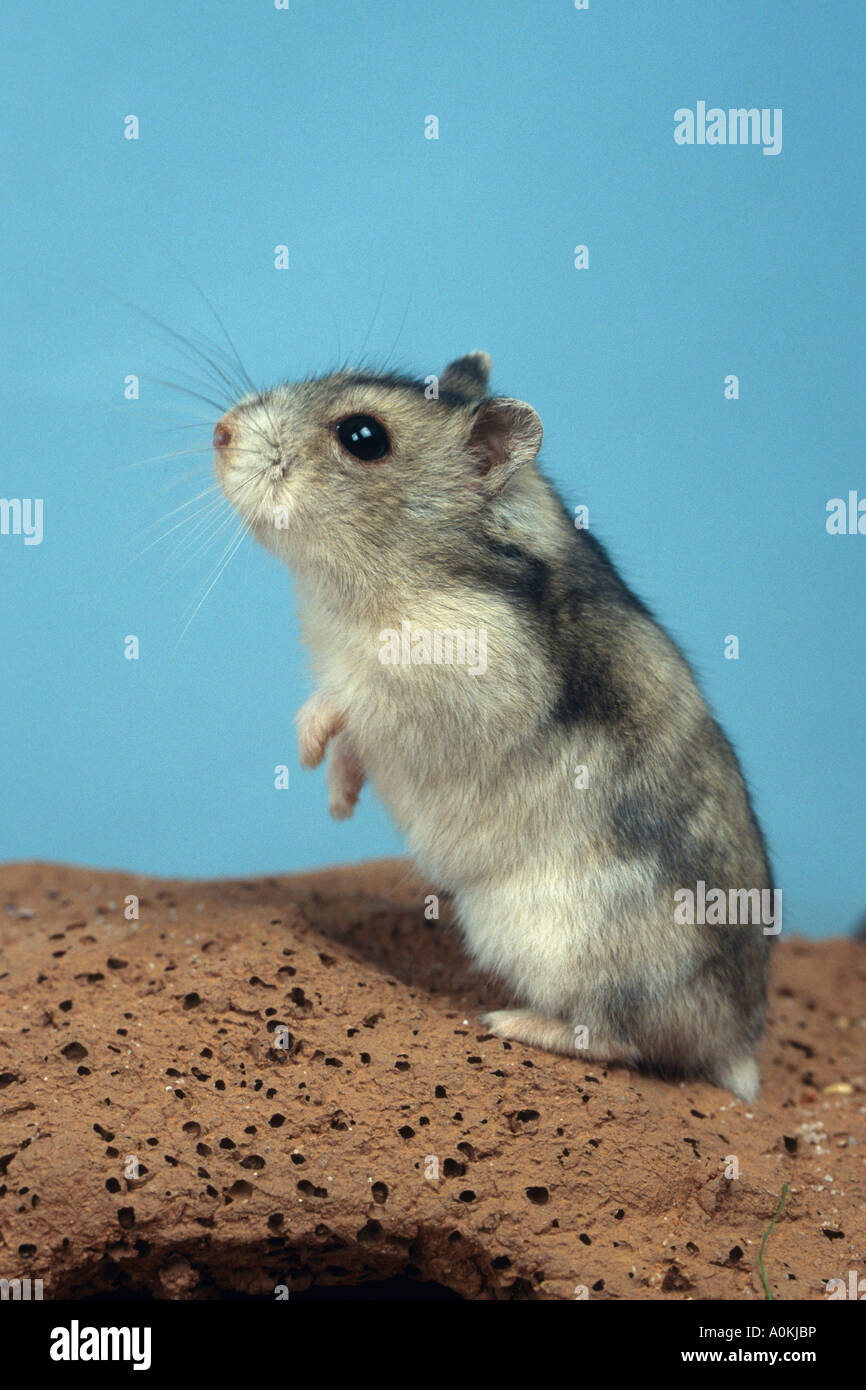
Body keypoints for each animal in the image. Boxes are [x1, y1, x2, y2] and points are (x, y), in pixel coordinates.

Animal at [212, 351, 774, 1102]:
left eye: (364, 438)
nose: (219, 432)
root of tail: (739, 1049)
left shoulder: (448, 673)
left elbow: (346, 697)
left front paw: (305, 751)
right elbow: (352, 743)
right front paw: (337, 804)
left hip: (570, 948)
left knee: (622, 1040)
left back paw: (508, 1022)